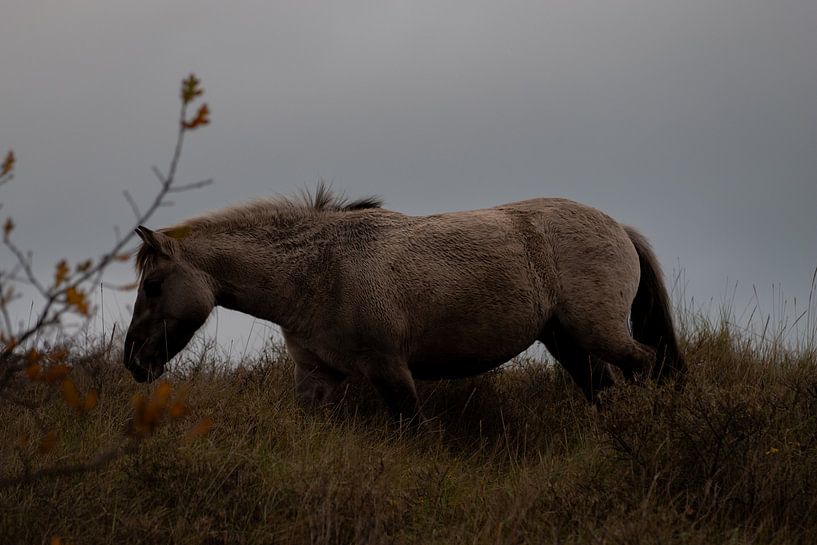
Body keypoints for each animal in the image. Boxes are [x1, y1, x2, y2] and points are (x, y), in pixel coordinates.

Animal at [124, 185, 685, 421]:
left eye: (152, 286)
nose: (133, 361)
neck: (321, 269)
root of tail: (619, 228)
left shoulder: (390, 369)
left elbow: (410, 428)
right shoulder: (317, 376)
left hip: (597, 331)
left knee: (646, 364)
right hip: (566, 340)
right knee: (604, 388)